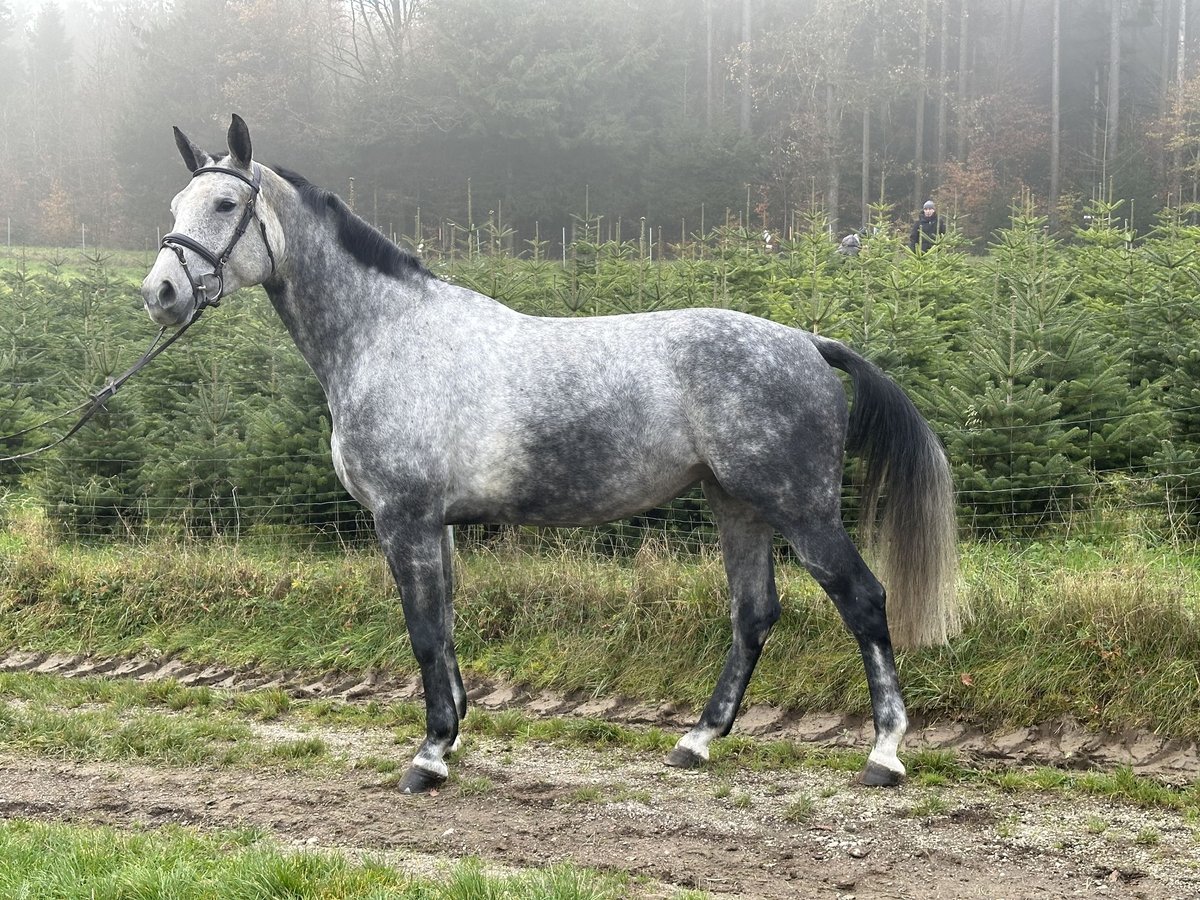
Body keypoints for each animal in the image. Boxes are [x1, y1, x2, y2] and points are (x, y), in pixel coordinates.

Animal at [142, 114, 964, 796]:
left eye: (225, 205)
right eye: (175, 207)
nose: (161, 293)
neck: (388, 337)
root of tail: (809, 343)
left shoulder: (404, 519)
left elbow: (423, 633)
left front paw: (428, 757)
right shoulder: (435, 525)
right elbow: (444, 627)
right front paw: (453, 736)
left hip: (800, 508)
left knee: (864, 601)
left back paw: (884, 754)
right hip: (738, 506)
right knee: (754, 613)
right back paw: (697, 741)